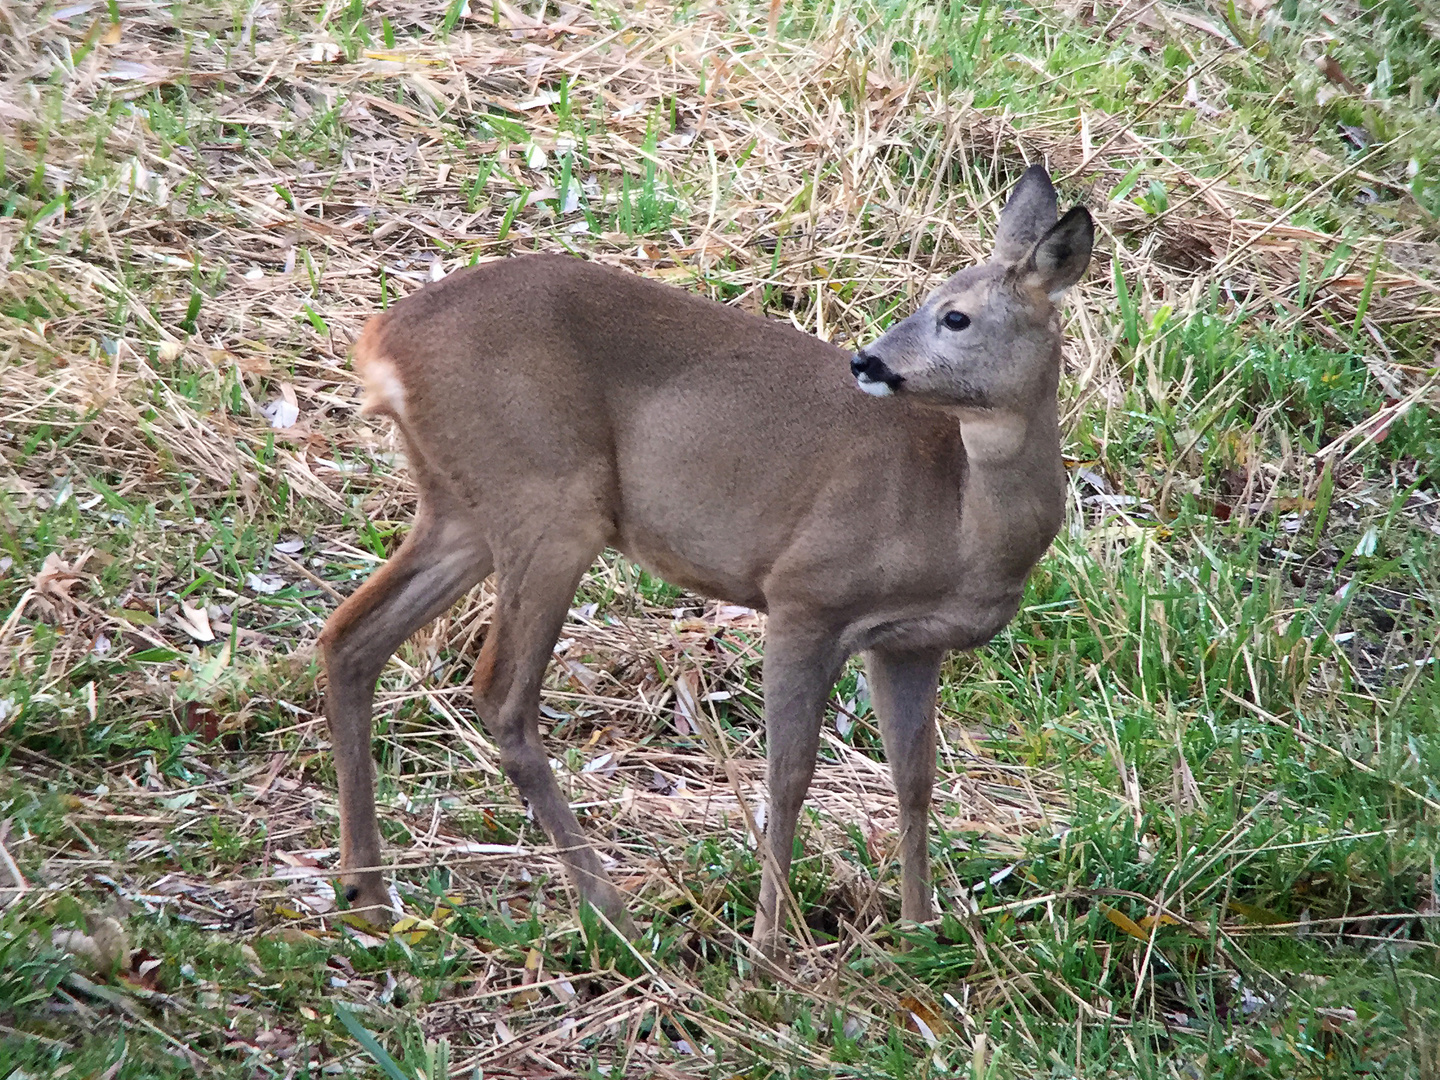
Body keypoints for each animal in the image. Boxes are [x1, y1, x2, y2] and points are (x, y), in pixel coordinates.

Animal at [324, 162, 1088, 956]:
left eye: (956, 317)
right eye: (930, 303)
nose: (866, 361)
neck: (959, 517)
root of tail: (381, 341)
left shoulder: (909, 643)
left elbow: (914, 776)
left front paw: (918, 931)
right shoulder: (805, 596)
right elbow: (789, 775)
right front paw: (769, 949)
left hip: (463, 508)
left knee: (350, 637)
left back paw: (368, 894)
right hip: (551, 500)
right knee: (500, 694)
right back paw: (613, 912)